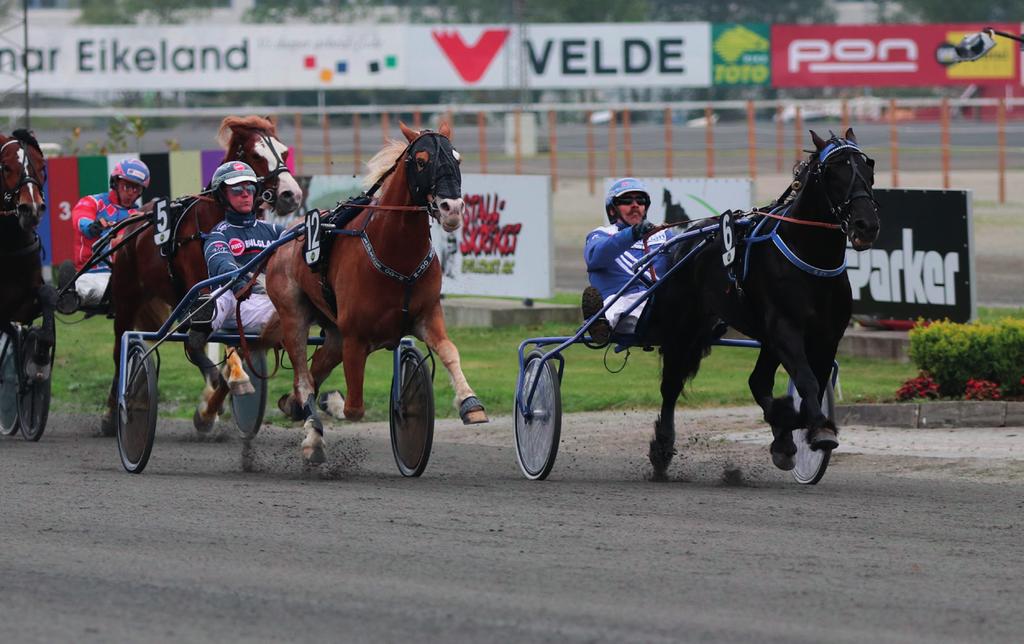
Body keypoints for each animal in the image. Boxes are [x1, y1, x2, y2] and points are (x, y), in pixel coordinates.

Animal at [104, 116, 303, 436]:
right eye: (255, 154)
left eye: (283, 152)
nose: (291, 195)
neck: (214, 221)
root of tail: (133, 222)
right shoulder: (206, 293)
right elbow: (206, 344)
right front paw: (215, 399)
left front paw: (213, 405)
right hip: (127, 297)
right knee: (119, 346)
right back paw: (112, 412)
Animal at [252, 121, 487, 462]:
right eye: (421, 161)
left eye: (458, 159)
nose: (451, 207)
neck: (395, 254)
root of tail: (286, 237)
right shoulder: (355, 338)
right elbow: (354, 409)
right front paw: (332, 403)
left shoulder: (427, 315)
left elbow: (449, 351)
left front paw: (470, 403)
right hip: (294, 314)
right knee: (304, 378)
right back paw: (313, 435)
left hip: (334, 334)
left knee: (313, 371)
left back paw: (294, 406)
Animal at [647, 126, 880, 477]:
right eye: (833, 173)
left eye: (869, 170)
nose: (866, 225)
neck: (812, 258)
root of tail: (683, 241)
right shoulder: (785, 328)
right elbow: (807, 380)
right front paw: (815, 428)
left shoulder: (826, 335)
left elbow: (810, 383)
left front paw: (793, 428)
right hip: (684, 328)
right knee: (671, 386)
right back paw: (662, 448)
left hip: (763, 340)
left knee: (757, 381)